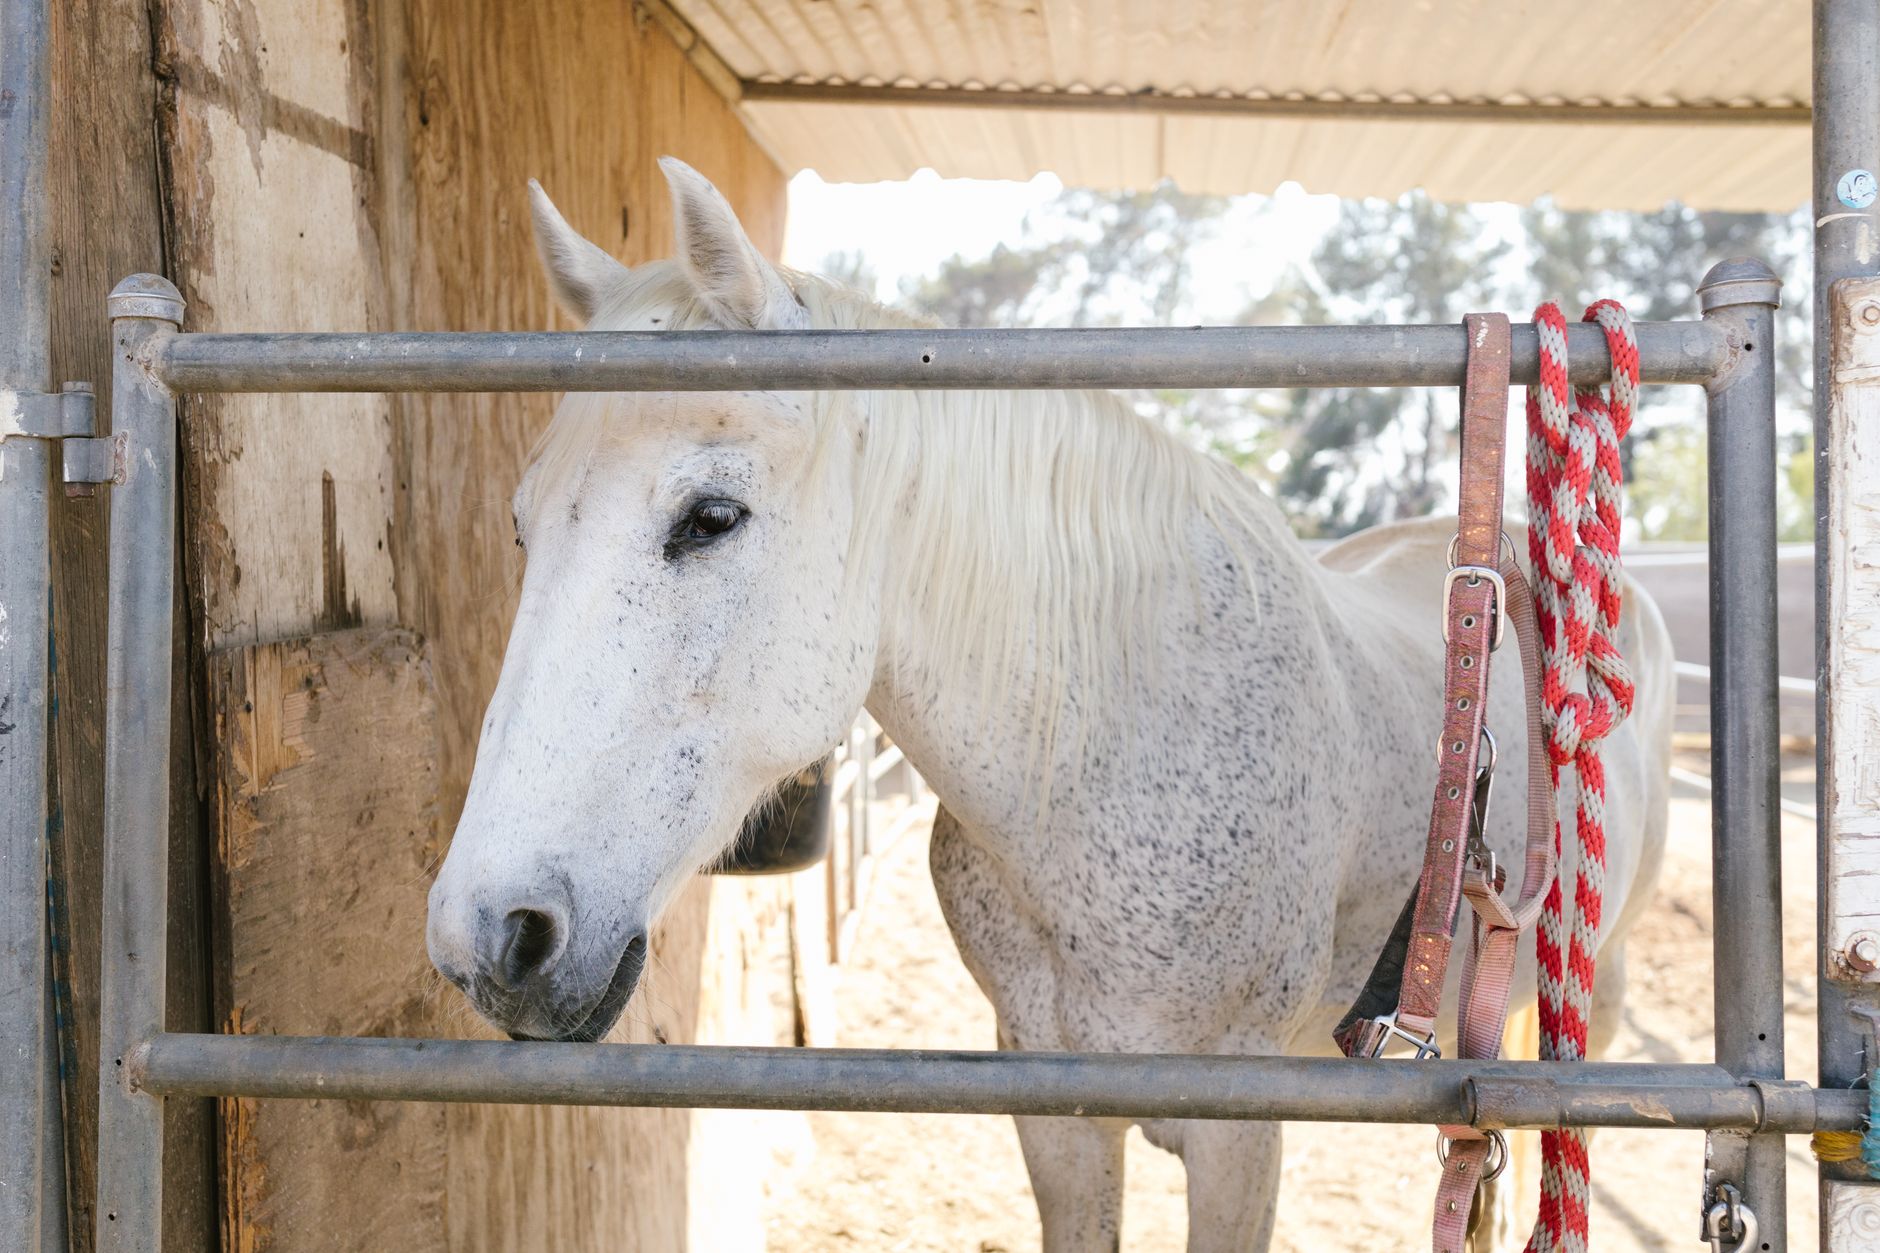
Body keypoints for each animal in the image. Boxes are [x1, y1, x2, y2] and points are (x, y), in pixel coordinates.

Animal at [425, 155, 1675, 1251]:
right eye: (524, 527)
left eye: (709, 516)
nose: (489, 935)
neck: (1106, 757)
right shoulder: (1056, 1108)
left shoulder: (1240, 1141)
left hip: (1593, 990)